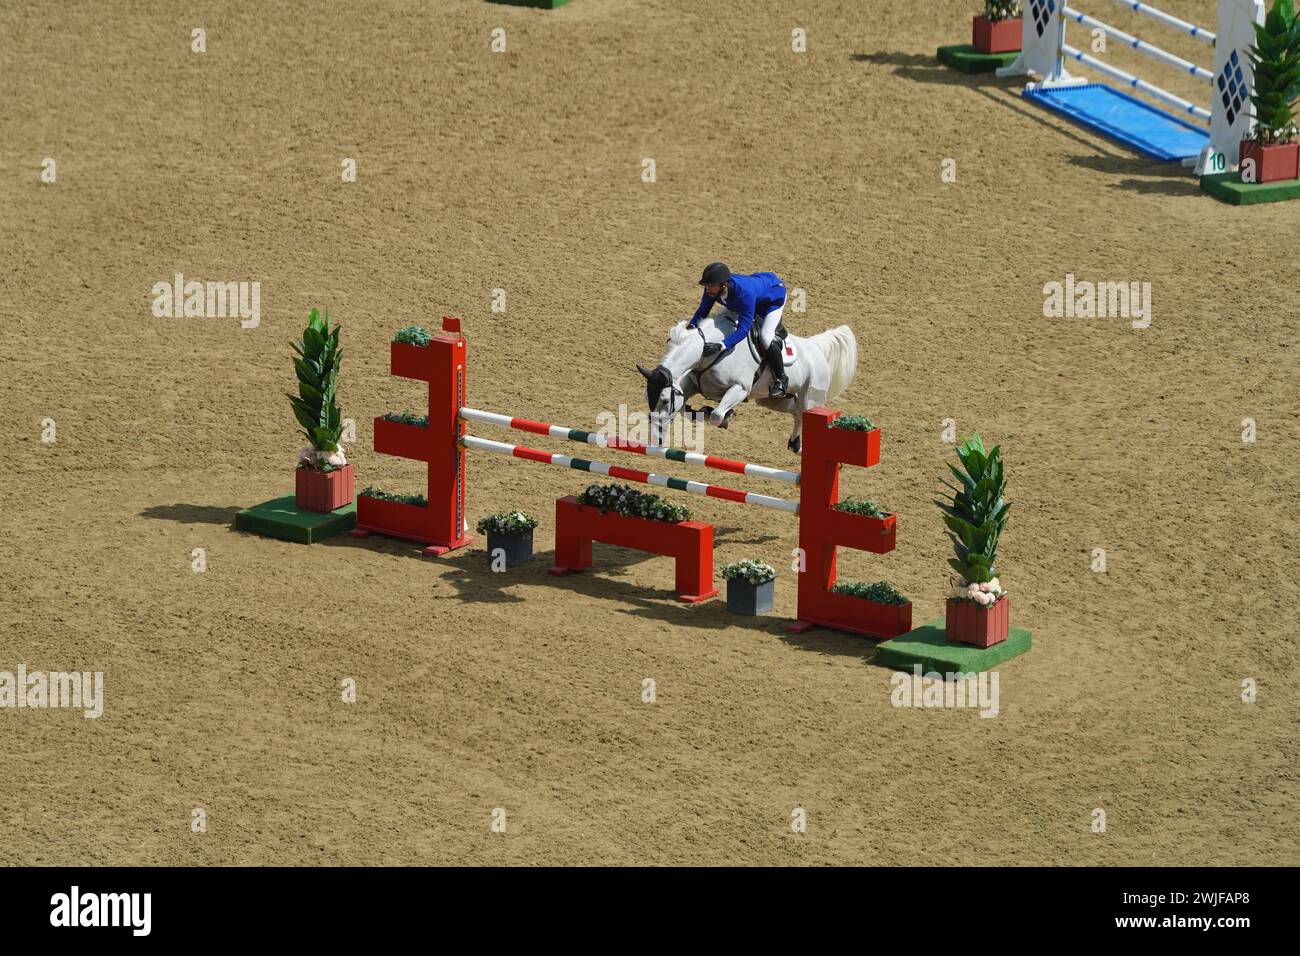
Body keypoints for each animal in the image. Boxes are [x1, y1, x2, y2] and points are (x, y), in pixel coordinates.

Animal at [637, 310, 857, 452]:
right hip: (771, 400)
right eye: (649, 400)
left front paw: (723, 417)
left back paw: (799, 444)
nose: (656, 439)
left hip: (811, 398)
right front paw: (702, 411)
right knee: (795, 412)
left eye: (665, 400)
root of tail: (816, 347)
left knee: (804, 414)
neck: (707, 352)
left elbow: (716, 415)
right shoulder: (692, 384)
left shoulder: (740, 389)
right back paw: (794, 444)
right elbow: (685, 408)